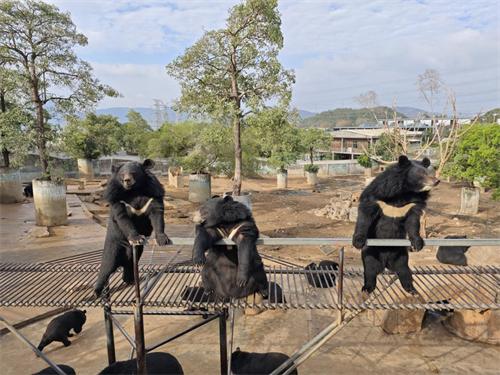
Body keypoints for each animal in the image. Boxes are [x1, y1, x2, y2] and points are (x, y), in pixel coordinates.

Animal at [94, 160, 170, 298]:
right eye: (122, 174)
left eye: (133, 173)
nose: (127, 180)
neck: (134, 190)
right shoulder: (116, 197)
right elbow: (123, 218)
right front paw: (136, 237)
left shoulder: (153, 193)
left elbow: (157, 214)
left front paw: (162, 239)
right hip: (114, 244)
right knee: (107, 265)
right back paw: (97, 291)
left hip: (136, 252)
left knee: (130, 263)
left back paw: (129, 279)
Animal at [352, 156, 438, 296]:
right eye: (421, 174)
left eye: (429, 172)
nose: (437, 181)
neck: (405, 192)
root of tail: (386, 263)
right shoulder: (377, 195)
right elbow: (365, 215)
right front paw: (358, 241)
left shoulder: (413, 204)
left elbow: (413, 221)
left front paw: (417, 243)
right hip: (371, 252)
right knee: (370, 269)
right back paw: (367, 288)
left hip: (401, 254)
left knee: (404, 270)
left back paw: (411, 289)